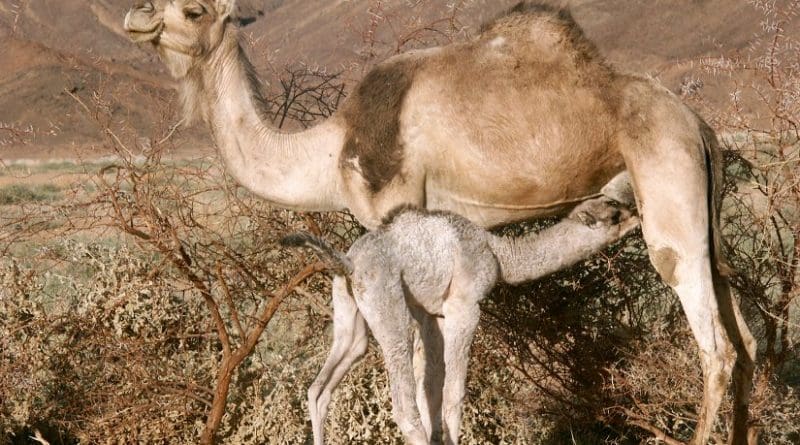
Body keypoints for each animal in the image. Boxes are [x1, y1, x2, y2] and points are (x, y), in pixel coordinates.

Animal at [282, 198, 636, 444]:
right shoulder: (463, 307)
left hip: (349, 312)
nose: (636, 215)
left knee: (321, 386)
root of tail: (349, 263)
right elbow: (453, 395)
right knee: (402, 405)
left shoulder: (431, 314)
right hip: (387, 305)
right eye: (614, 215)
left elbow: (431, 394)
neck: (498, 255)